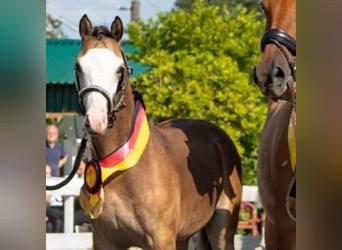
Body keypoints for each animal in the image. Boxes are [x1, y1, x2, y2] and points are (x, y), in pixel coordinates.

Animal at [74, 14, 243, 249]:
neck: (125, 170)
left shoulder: (160, 240)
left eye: (119, 69)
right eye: (79, 67)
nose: (96, 120)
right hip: (182, 237)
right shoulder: (105, 241)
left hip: (221, 227)